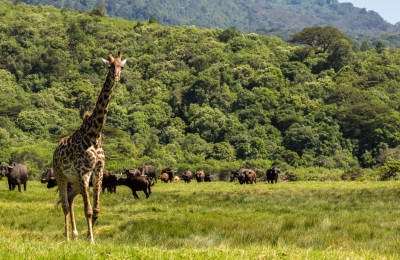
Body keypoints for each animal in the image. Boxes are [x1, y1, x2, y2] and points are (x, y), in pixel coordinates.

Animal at [53, 51, 127, 244]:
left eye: (121, 66)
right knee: (65, 204)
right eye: (109, 66)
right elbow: (87, 210)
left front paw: (88, 235)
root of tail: (55, 151)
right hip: (61, 175)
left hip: (75, 181)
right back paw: (67, 237)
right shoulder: (84, 172)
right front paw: (91, 239)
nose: (116, 77)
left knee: (70, 199)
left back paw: (75, 234)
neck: (95, 135)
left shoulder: (98, 171)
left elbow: (96, 210)